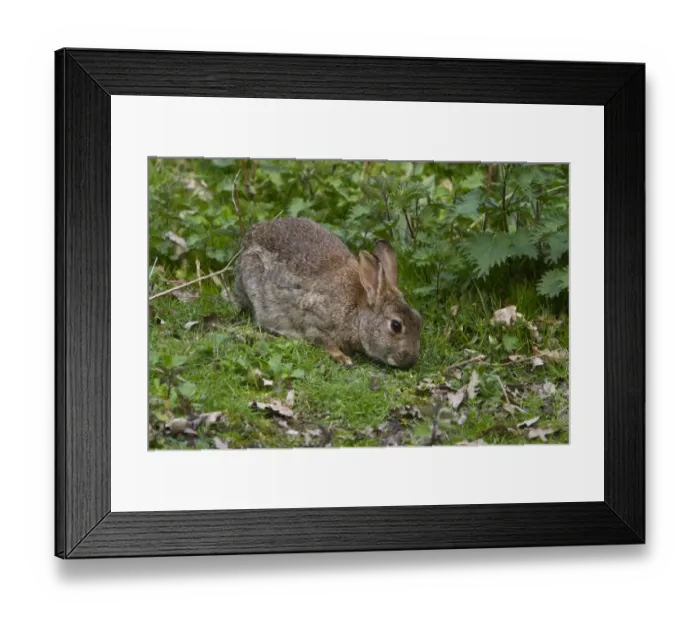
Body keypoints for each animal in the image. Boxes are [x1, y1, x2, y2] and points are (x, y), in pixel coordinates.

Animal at [233, 217, 422, 368]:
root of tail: (247, 240)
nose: (410, 361)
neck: (357, 310)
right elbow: (325, 341)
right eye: (396, 325)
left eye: (419, 319)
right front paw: (343, 358)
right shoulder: (313, 317)